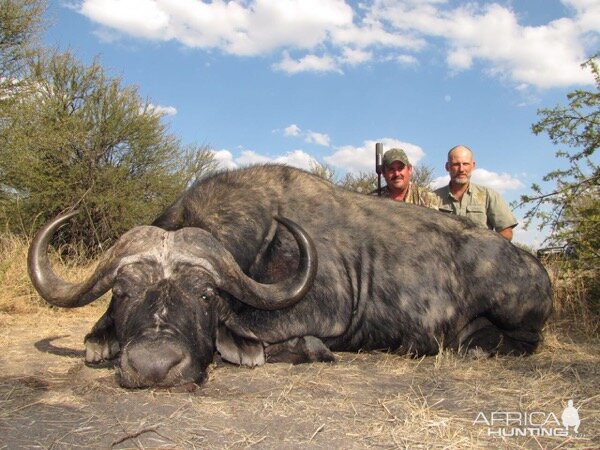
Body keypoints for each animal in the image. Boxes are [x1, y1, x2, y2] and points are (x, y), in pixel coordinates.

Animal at [28, 163, 552, 388]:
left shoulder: (325, 310)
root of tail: (535, 268)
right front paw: (102, 338)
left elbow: (246, 336)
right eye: (123, 292)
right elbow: (96, 340)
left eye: (205, 296)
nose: (154, 367)